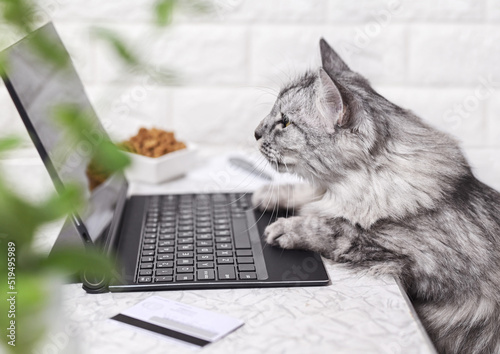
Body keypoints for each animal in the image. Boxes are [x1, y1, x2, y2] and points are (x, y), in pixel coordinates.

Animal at [256, 38, 500, 354]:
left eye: (284, 123)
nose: (255, 133)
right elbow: (310, 195)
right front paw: (268, 195)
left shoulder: (420, 263)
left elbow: (337, 227)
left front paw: (286, 228)